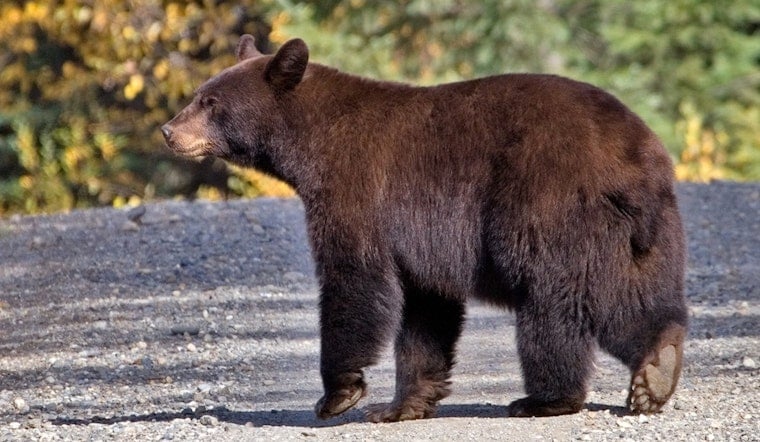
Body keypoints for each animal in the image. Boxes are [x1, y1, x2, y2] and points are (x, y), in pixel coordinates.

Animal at [162, 35, 688, 422]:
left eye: (209, 101)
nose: (169, 131)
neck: (309, 145)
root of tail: (634, 157)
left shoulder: (357, 191)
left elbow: (354, 280)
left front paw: (338, 394)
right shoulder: (422, 239)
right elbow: (425, 311)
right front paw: (402, 404)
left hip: (549, 207)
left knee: (555, 301)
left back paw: (545, 398)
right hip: (645, 233)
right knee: (634, 294)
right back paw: (657, 369)